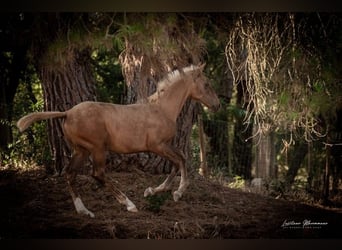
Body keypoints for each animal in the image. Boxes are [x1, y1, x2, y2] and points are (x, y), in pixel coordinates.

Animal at [16, 63, 219, 218]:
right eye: (207, 84)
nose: (217, 105)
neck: (161, 109)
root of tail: (67, 113)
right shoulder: (157, 146)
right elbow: (180, 161)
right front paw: (177, 192)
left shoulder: (165, 145)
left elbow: (180, 160)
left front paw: (152, 191)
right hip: (97, 148)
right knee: (97, 174)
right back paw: (129, 204)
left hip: (81, 150)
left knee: (70, 174)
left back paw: (85, 211)